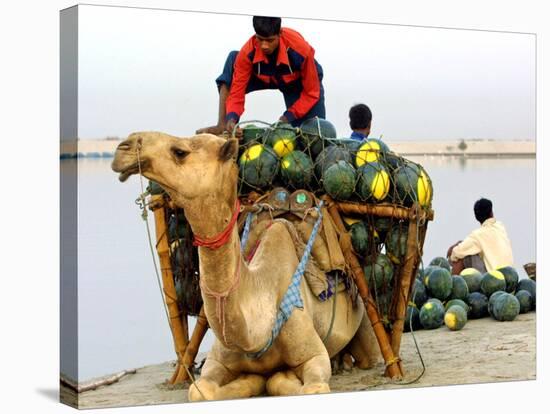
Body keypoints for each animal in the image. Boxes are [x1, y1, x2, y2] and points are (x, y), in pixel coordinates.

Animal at [110, 131, 382, 400]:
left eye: (180, 151)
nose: (124, 148)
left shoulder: (314, 356)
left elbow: (303, 384)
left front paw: (275, 376)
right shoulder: (217, 361)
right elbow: (200, 390)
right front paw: (249, 380)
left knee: (369, 356)